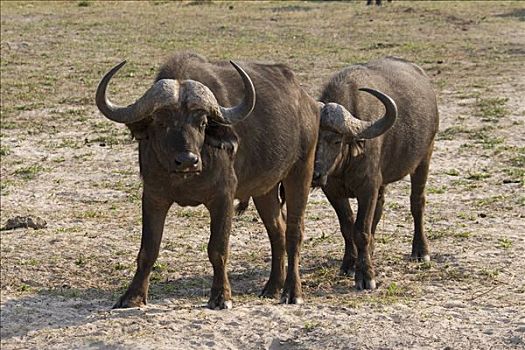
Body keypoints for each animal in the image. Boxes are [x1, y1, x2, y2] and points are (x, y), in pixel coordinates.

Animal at [97, 52, 320, 308]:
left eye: (202, 123)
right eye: (160, 122)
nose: (187, 160)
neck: (185, 178)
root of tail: (308, 102)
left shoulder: (223, 197)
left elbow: (218, 249)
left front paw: (221, 296)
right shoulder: (153, 196)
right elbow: (148, 250)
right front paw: (132, 295)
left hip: (300, 172)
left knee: (294, 231)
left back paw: (292, 291)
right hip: (265, 188)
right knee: (277, 230)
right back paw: (273, 287)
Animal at [314, 57, 440, 290]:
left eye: (336, 140)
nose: (314, 174)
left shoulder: (367, 188)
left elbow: (361, 230)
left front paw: (365, 275)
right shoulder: (332, 190)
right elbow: (348, 226)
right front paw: (349, 263)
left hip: (425, 156)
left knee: (417, 203)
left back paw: (421, 251)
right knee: (380, 208)